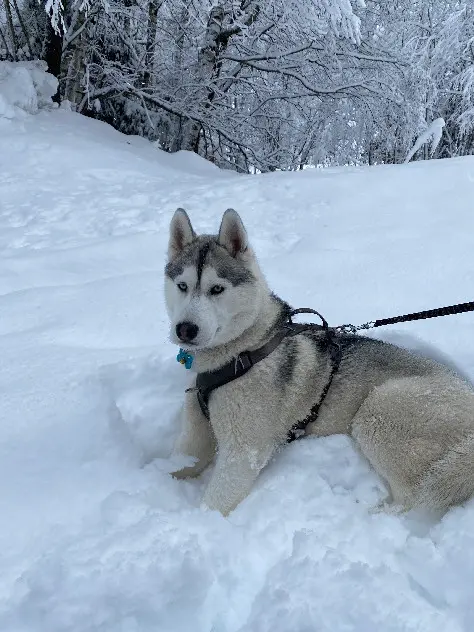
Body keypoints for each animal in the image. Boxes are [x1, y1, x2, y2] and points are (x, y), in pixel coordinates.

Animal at [165, 210, 474, 516]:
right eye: (182, 286)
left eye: (217, 288)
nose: (185, 329)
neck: (243, 351)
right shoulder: (195, 431)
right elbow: (181, 462)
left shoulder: (243, 451)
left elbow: (213, 504)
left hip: (378, 410)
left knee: (411, 497)